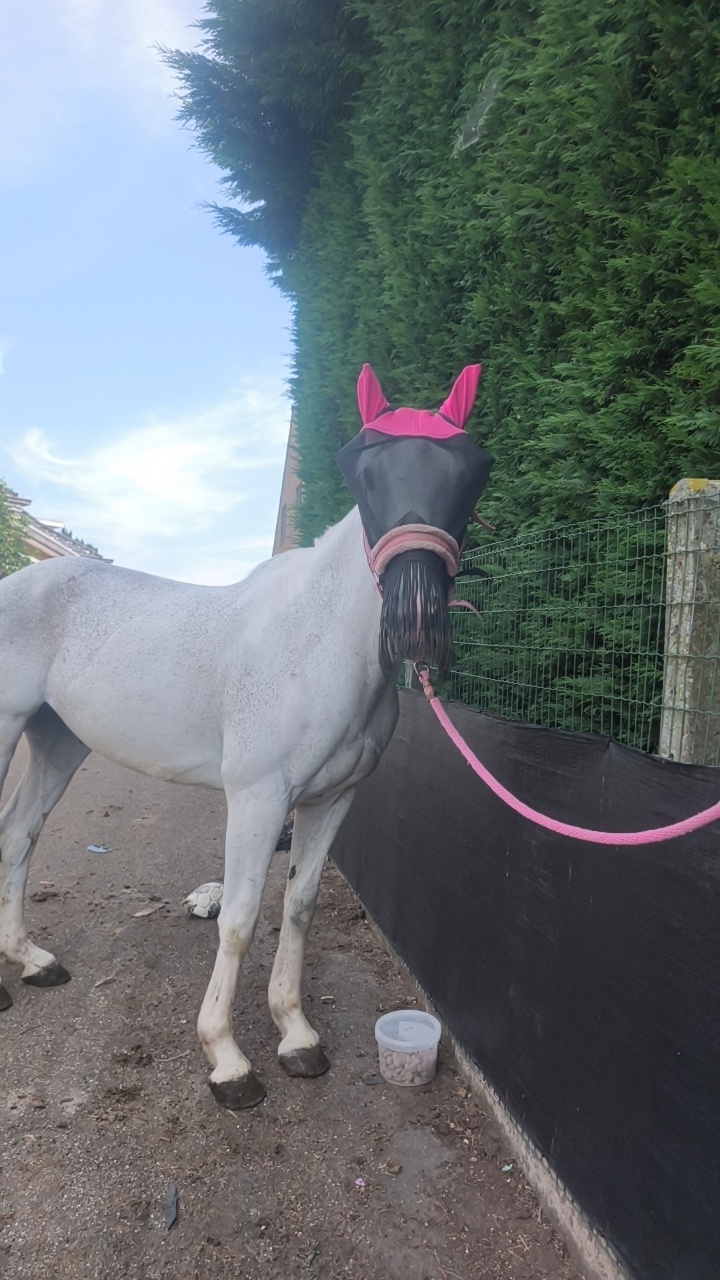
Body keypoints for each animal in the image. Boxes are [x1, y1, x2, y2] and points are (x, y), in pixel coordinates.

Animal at [0, 363, 492, 1109]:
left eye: (470, 470)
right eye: (360, 468)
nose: (415, 619)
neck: (316, 642)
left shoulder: (330, 801)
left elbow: (299, 906)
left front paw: (297, 1036)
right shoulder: (258, 799)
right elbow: (238, 918)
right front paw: (228, 1060)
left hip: (60, 742)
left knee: (19, 834)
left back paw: (32, 962)